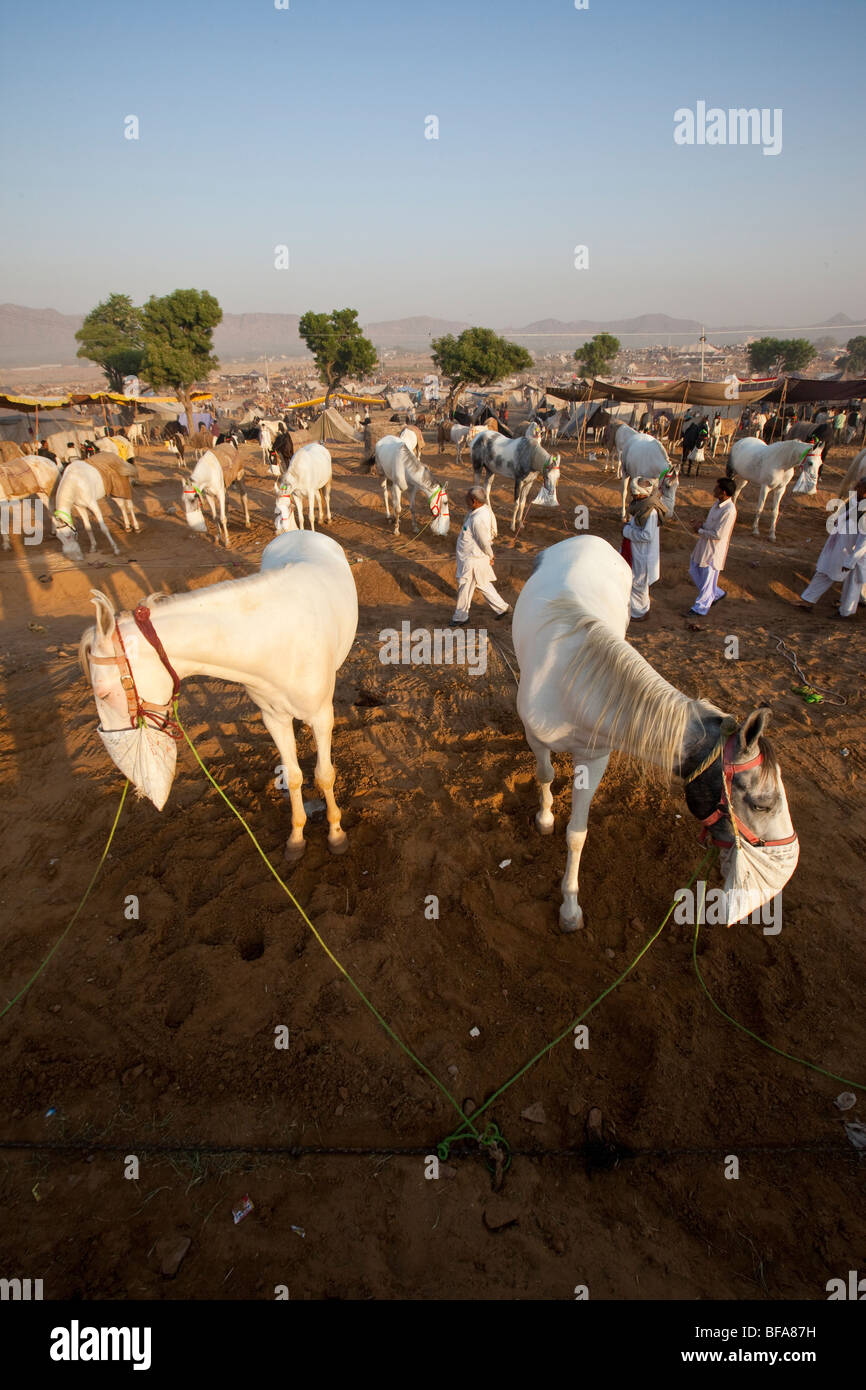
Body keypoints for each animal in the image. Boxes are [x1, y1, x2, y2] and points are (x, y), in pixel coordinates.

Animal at [81, 528, 358, 856]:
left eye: (104, 693)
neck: (270, 637)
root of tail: (300, 530)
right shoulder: (273, 717)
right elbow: (292, 776)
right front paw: (297, 837)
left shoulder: (320, 715)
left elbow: (324, 775)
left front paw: (336, 834)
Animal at [514, 536, 800, 928]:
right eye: (762, 804)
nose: (787, 862)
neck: (573, 686)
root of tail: (589, 538)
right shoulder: (536, 736)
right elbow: (545, 774)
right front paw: (544, 818)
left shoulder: (595, 756)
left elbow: (577, 835)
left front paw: (570, 906)